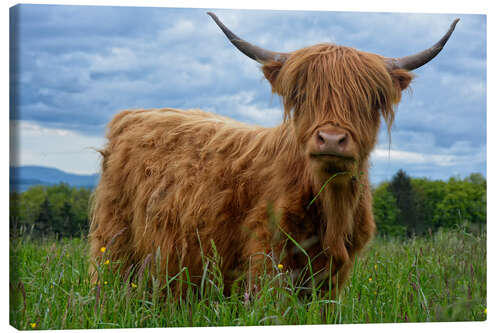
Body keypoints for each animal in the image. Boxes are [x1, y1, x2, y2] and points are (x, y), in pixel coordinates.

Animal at [89, 11, 458, 294]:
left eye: (370, 99)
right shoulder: (268, 256)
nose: (331, 139)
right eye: (303, 96)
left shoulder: (335, 276)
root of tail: (133, 114)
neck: (330, 206)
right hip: (113, 243)